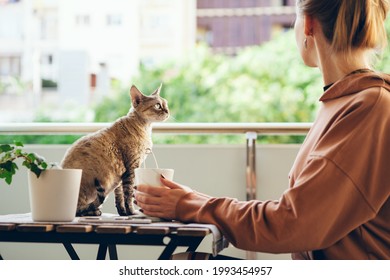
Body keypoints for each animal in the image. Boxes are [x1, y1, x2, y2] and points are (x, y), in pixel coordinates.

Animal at [61, 85, 169, 217]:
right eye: (158, 105)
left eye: (166, 104)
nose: (168, 111)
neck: (145, 128)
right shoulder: (131, 168)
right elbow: (128, 194)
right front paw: (131, 212)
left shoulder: (120, 174)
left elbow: (119, 197)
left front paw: (122, 212)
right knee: (79, 210)